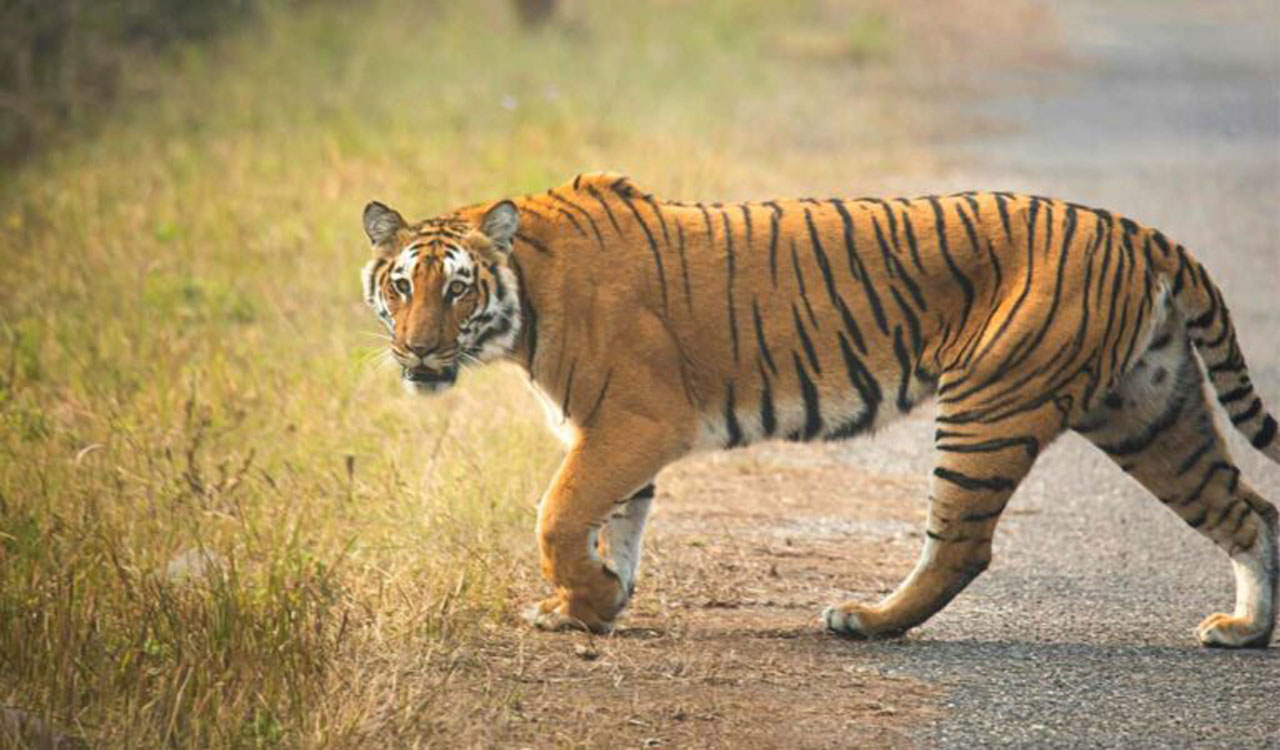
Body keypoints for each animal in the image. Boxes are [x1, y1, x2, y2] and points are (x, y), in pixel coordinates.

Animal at [359, 173, 1280, 648]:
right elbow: (615, 520)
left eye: (456, 288)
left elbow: (557, 514)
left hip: (990, 407)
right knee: (1249, 510)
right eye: (400, 286)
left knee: (962, 545)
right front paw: (596, 605)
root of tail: (1140, 231)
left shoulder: (635, 423)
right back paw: (1244, 629)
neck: (525, 298)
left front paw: (580, 600)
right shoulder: (612, 433)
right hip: (1149, 411)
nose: (417, 352)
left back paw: (865, 621)